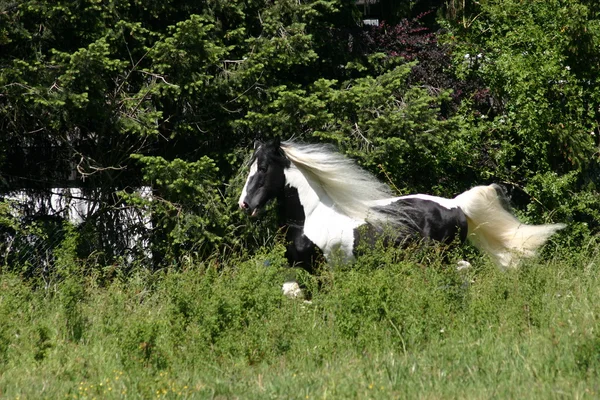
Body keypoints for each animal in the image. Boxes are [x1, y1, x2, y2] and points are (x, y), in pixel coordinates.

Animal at [238, 138, 564, 296]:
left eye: (263, 168)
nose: (245, 204)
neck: (311, 218)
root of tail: (455, 204)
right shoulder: (298, 270)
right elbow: (291, 293)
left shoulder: (325, 269)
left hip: (438, 256)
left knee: (461, 270)